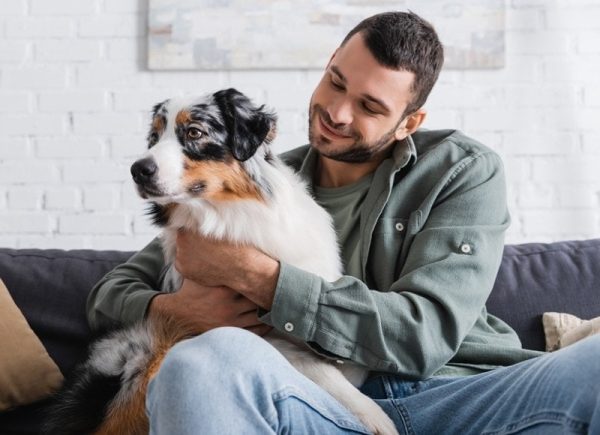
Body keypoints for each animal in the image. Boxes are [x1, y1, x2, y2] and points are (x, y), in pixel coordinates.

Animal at [44, 88, 396, 435]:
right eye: (154, 137)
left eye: (194, 132)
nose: (137, 170)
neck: (228, 217)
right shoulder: (264, 335)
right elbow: (324, 371)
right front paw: (377, 417)